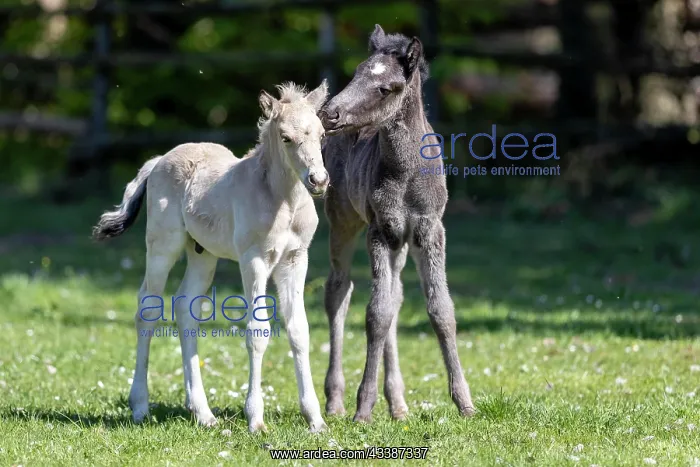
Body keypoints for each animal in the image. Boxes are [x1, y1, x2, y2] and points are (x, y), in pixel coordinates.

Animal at [92, 81, 330, 433]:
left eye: (322, 134)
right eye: (286, 137)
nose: (318, 181)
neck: (282, 201)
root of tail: (159, 160)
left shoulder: (295, 259)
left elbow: (299, 330)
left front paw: (315, 420)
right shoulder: (254, 259)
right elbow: (258, 332)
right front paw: (256, 420)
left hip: (202, 254)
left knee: (184, 307)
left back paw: (202, 413)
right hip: (163, 244)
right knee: (147, 308)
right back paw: (140, 407)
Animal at [318, 25, 475, 422]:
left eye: (385, 88)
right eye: (356, 73)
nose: (329, 114)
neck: (406, 173)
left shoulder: (429, 231)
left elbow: (441, 310)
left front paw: (465, 403)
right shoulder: (380, 231)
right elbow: (376, 314)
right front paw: (362, 409)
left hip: (401, 243)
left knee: (396, 296)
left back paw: (399, 404)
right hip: (342, 221)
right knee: (339, 291)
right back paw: (336, 401)